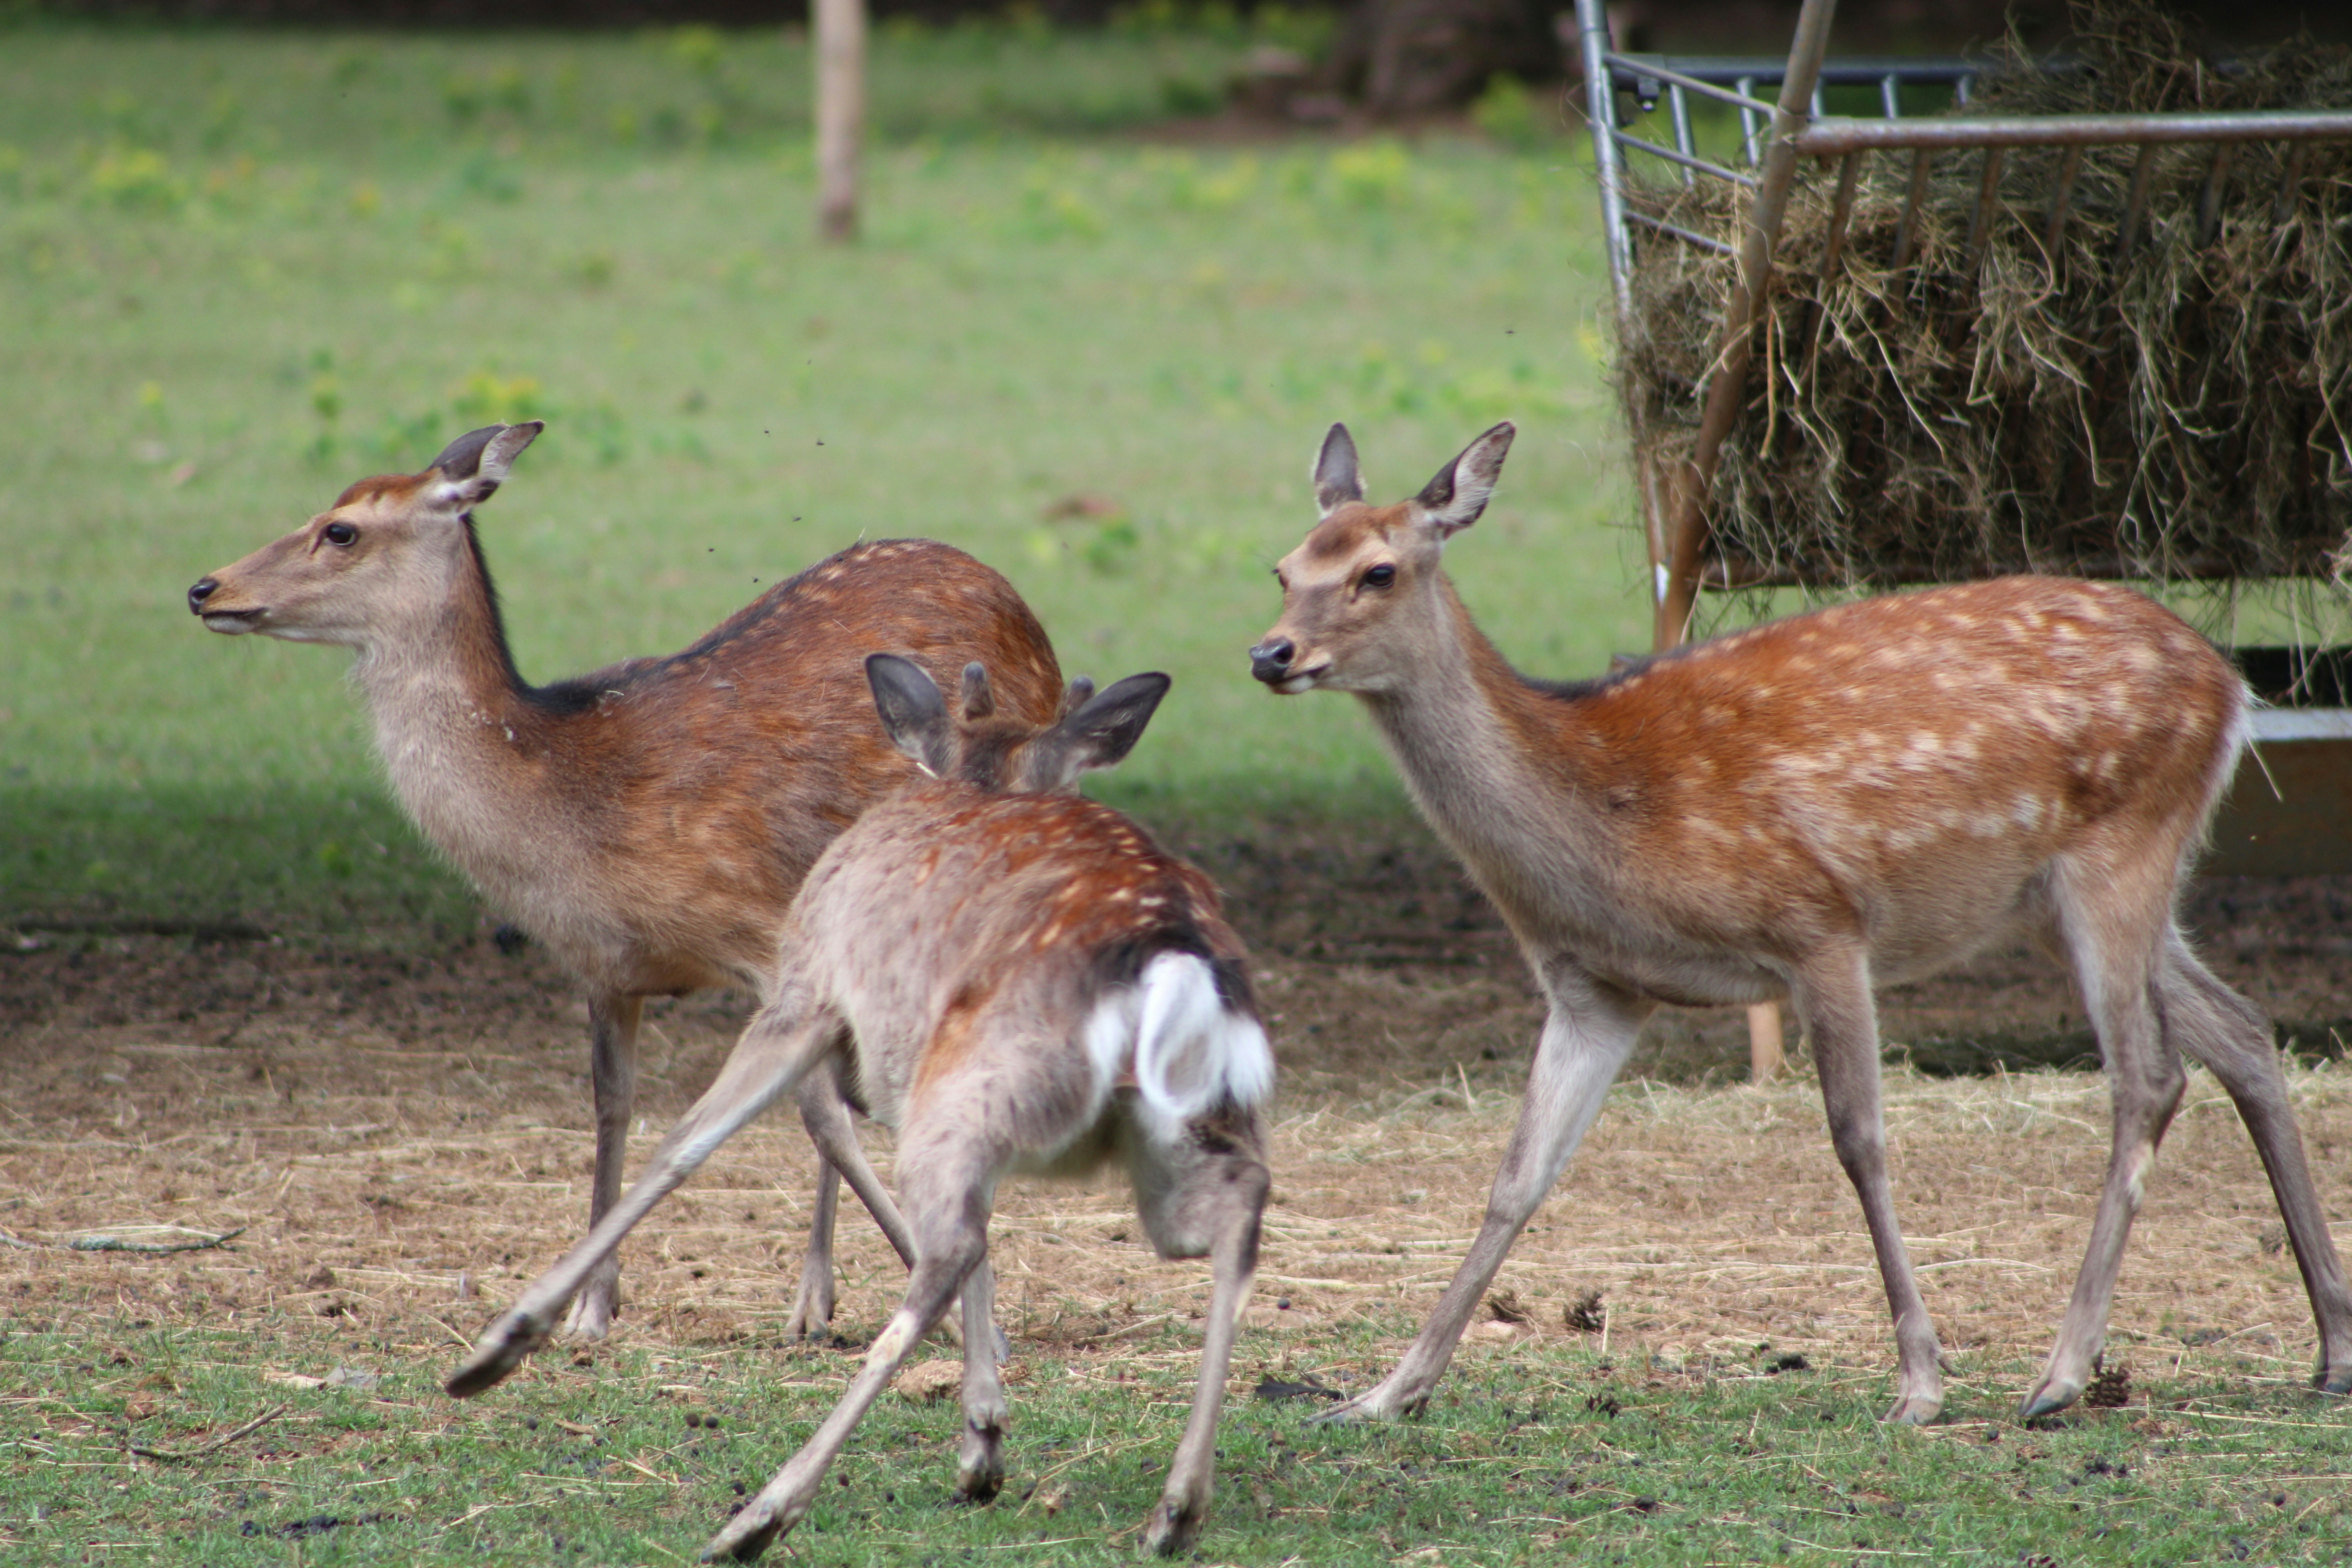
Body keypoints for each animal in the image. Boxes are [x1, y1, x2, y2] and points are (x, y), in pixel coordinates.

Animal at [187, 422, 1065, 1345]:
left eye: (342, 530)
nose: (206, 587)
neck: (575, 820)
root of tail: (1007, 592)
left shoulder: (761, 927)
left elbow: (819, 1114)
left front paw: (964, 1314)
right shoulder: (603, 968)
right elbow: (614, 1106)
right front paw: (590, 1309)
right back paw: (812, 1298)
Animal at [444, 655, 1272, 1562]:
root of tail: (1167, 957)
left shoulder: (801, 995)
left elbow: (684, 1146)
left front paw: (505, 1341)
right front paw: (983, 1437)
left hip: (968, 1088)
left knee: (945, 1253)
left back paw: (760, 1513)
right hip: (1167, 1129)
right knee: (1232, 1214)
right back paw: (1175, 1506)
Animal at [1249, 419, 2352, 1425]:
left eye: (1378, 570)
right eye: (1283, 567)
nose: (1270, 651)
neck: (1605, 818)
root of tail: (2234, 686)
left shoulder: (1819, 922)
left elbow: (1859, 1138)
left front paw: (1920, 1383)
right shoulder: (1594, 986)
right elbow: (1517, 1178)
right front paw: (1383, 1393)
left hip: (2120, 849)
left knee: (2150, 1074)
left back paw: (2061, 1374)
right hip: (2059, 897)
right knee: (2242, 1030)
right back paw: (2331, 1350)